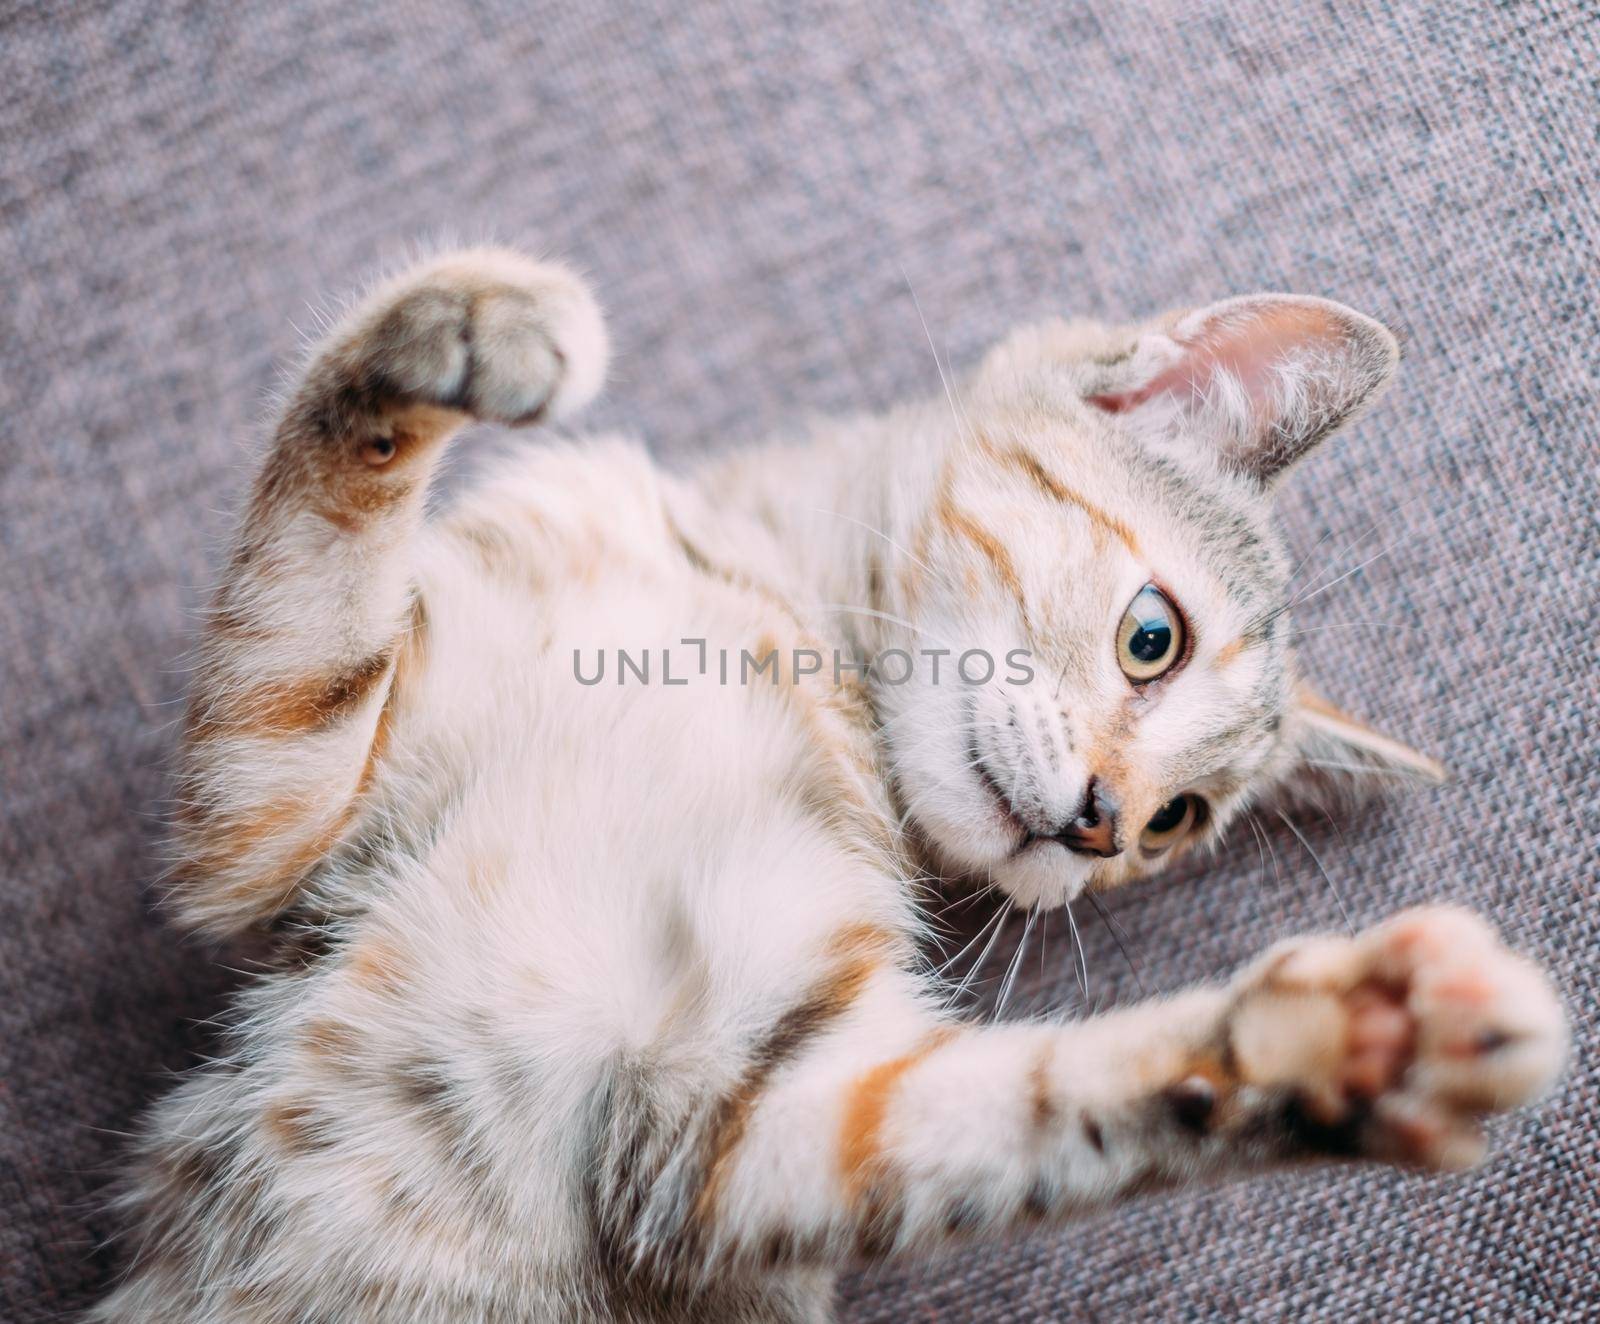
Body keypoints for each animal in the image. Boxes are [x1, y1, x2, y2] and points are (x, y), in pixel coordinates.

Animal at [96, 251, 1561, 1324]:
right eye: (1156, 637)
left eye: (1177, 825)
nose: (1099, 827)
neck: (781, 634)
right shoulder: (259, 831)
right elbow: (319, 542)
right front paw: (456, 320)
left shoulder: (721, 1125)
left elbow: (1027, 1105)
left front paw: (1332, 1041)